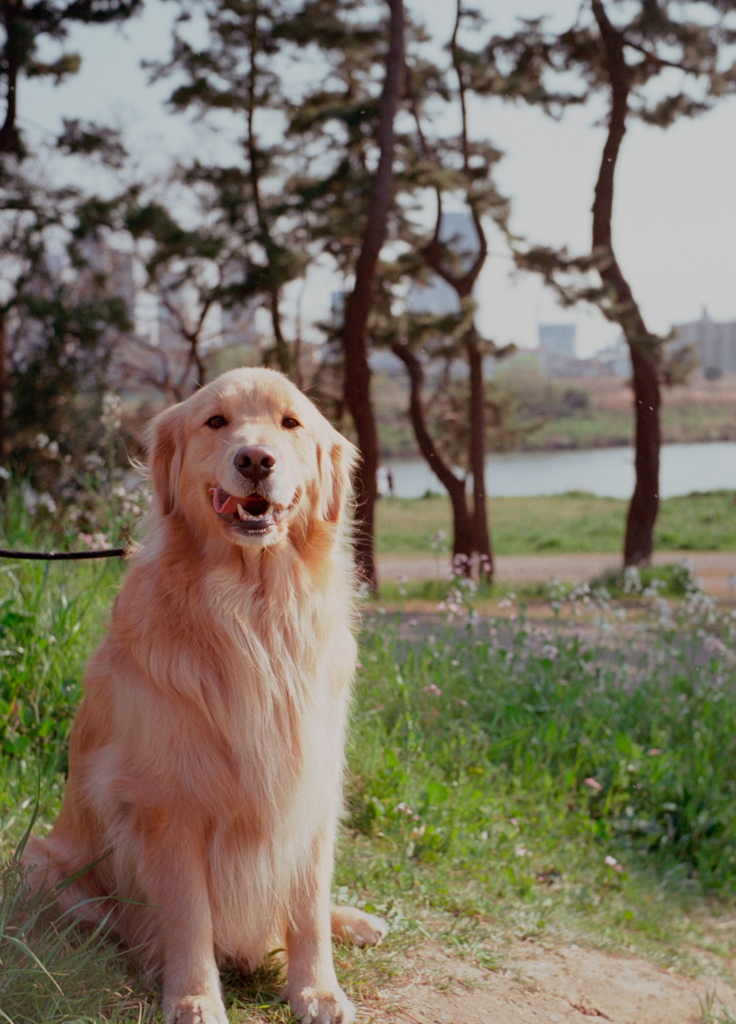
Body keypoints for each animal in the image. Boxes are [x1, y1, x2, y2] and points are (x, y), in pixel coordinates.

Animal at [24, 368, 384, 1024]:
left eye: (291, 423)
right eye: (215, 422)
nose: (256, 458)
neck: (255, 611)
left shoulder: (311, 787)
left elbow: (307, 910)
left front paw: (319, 990)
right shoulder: (170, 803)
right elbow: (190, 915)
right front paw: (193, 997)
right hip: (37, 863)